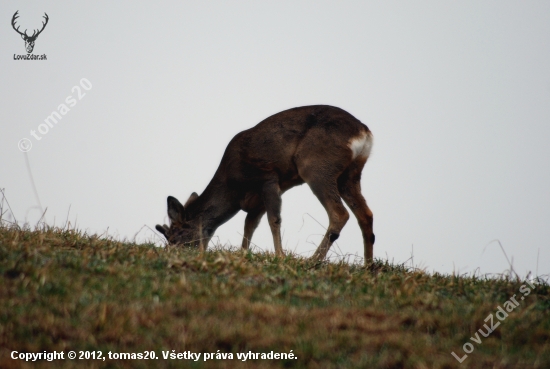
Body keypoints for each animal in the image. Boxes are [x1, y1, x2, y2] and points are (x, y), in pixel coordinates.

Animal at [157, 105, 378, 264]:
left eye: (174, 236)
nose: (168, 252)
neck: (233, 188)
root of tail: (364, 132)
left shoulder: (268, 178)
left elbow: (274, 220)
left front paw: (280, 256)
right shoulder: (258, 199)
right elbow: (250, 225)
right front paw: (243, 253)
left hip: (316, 166)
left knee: (340, 213)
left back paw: (313, 260)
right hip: (349, 175)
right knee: (365, 214)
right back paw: (368, 266)